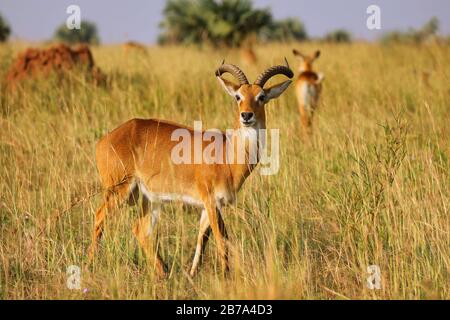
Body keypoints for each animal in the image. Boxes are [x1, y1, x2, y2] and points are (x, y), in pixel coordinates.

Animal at [88, 61, 294, 276]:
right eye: (238, 96)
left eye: (261, 97)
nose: (246, 115)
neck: (227, 155)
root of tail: (105, 139)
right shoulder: (211, 202)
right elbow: (221, 240)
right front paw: (225, 275)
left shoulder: (210, 205)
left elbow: (202, 240)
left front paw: (193, 274)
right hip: (119, 190)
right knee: (100, 216)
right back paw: (89, 265)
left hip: (149, 199)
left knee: (140, 230)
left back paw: (163, 272)